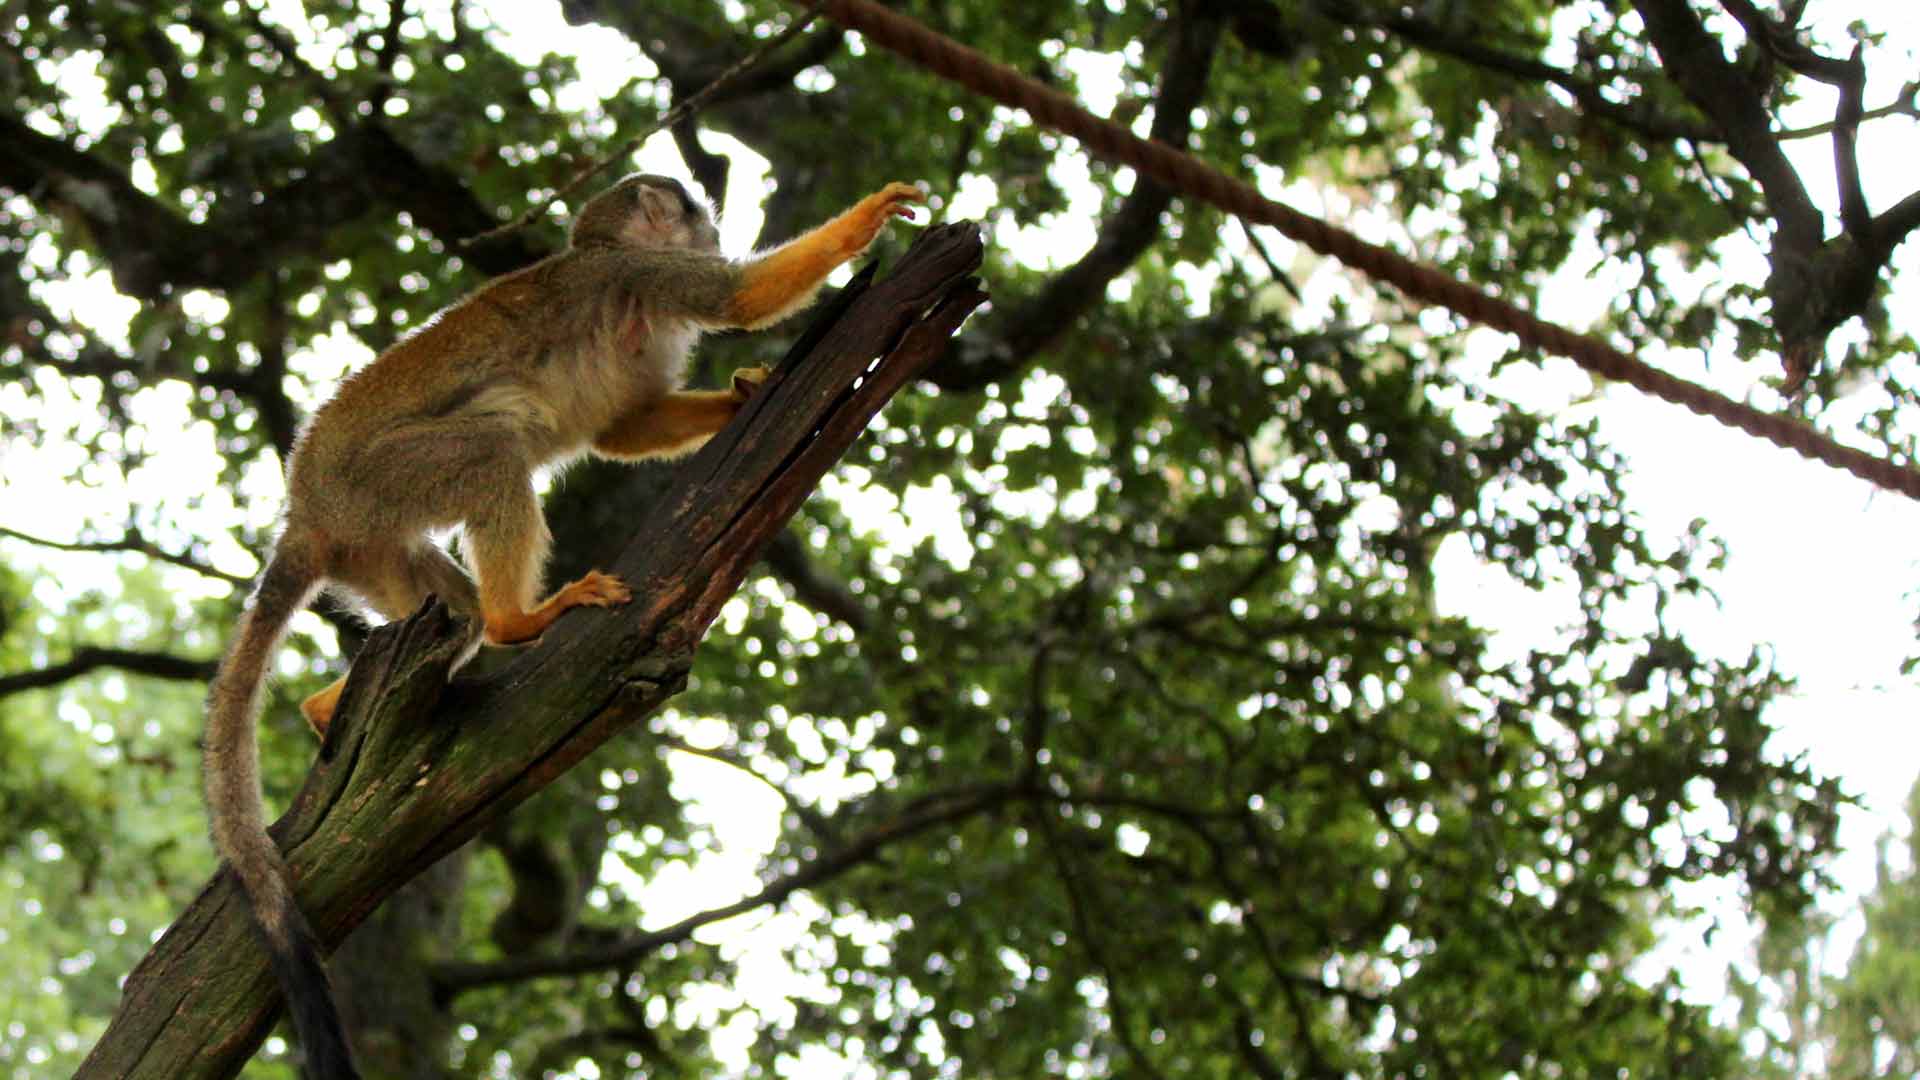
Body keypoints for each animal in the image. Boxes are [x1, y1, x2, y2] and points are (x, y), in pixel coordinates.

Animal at [206, 171, 925, 1068]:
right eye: (691, 208)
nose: (708, 216)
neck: (606, 253)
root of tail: (304, 512)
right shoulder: (636, 273)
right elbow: (737, 297)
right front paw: (867, 218)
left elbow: (625, 426)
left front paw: (742, 395)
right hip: (378, 482)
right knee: (489, 451)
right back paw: (517, 620)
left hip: (369, 544)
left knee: (453, 606)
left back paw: (335, 701)